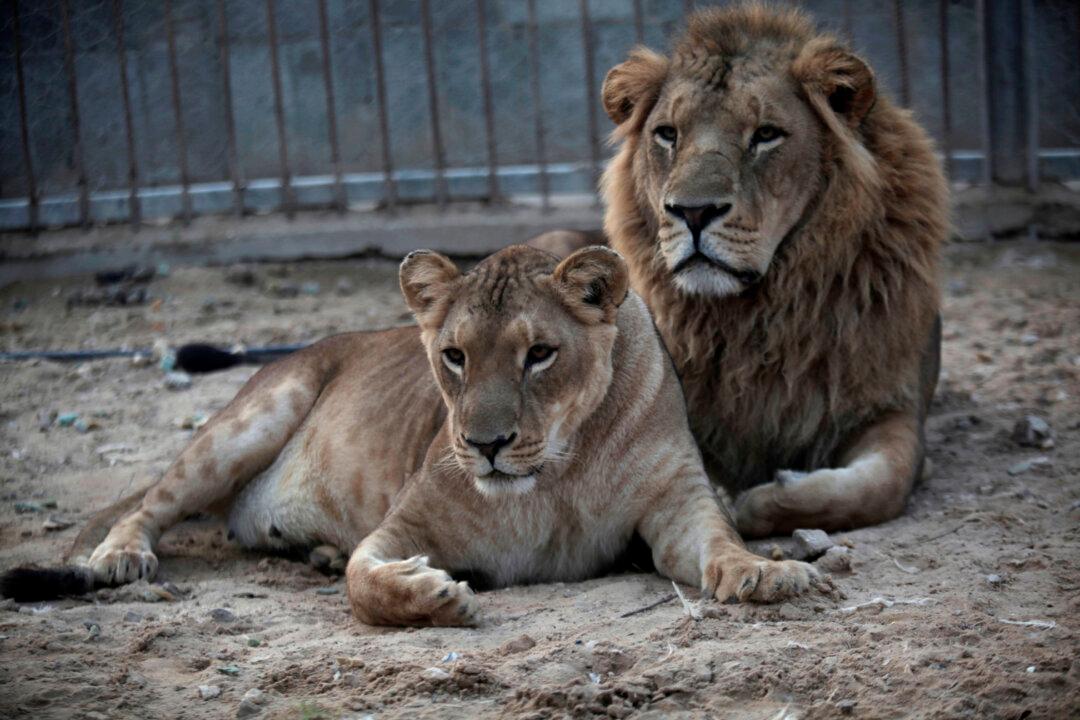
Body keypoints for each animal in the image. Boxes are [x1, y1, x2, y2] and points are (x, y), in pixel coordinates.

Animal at [2, 245, 826, 625]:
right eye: (454, 356)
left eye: (539, 354)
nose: (487, 445)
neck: (558, 471)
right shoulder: (401, 523)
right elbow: (363, 580)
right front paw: (435, 596)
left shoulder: (677, 501)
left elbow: (718, 541)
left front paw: (765, 572)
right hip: (252, 418)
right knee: (151, 503)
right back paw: (120, 558)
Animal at [558, 3, 946, 538]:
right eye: (668, 134)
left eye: (765, 135)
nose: (693, 211)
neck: (758, 315)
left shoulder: (893, 404)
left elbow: (881, 484)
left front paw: (764, 500)